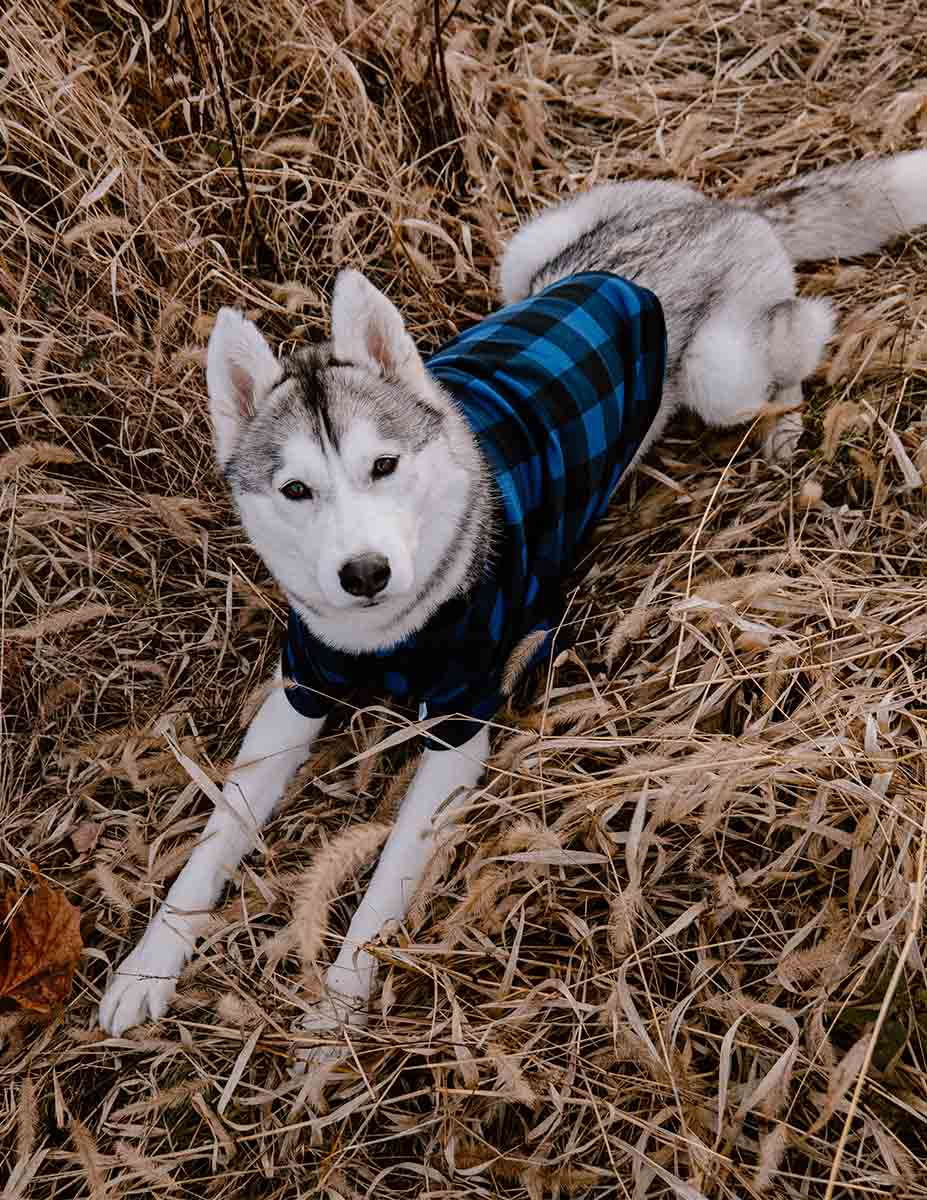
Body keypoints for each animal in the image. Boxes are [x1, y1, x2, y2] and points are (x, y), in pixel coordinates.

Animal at [97, 152, 922, 1060]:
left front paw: (340, 1007)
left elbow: (386, 880)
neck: (387, 636)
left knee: (799, 341)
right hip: (527, 254)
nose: (364, 573)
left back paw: (784, 432)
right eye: (296, 490)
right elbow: (216, 832)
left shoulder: (460, 726)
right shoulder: (298, 690)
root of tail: (718, 207)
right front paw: (150, 961)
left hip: (719, 376)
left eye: (384, 466)